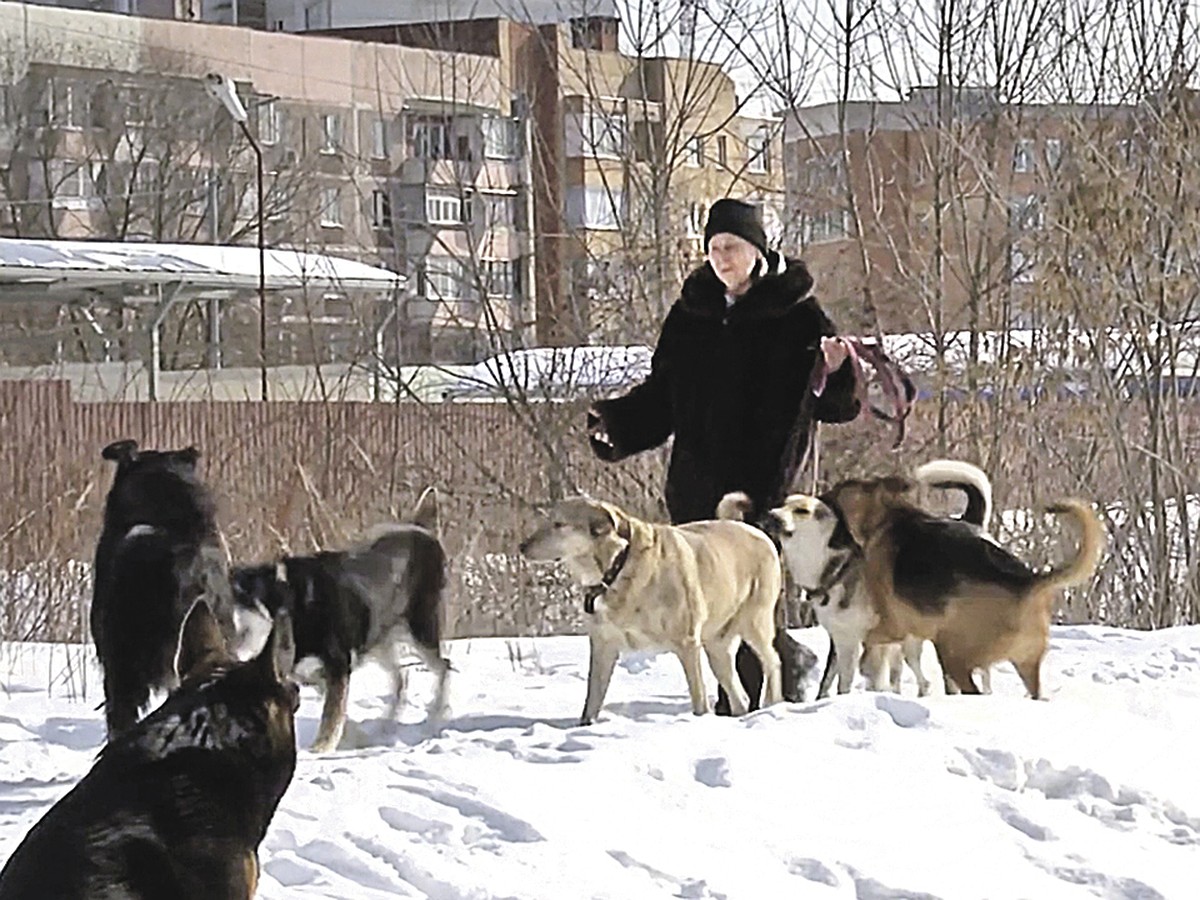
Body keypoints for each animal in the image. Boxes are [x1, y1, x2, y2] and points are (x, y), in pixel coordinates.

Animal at [518, 496, 782, 729]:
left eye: (558, 524)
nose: (521, 546)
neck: (616, 568)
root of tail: (754, 530)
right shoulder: (603, 645)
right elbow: (593, 697)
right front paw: (585, 726)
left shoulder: (686, 643)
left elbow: (698, 697)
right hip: (717, 647)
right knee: (738, 694)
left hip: (755, 622)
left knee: (772, 661)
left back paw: (773, 703)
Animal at [820, 475, 1099, 700]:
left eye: (838, 491)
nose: (821, 497)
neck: (889, 514)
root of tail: (1028, 583)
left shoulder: (892, 619)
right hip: (1025, 664)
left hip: (953, 654)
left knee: (970, 688)